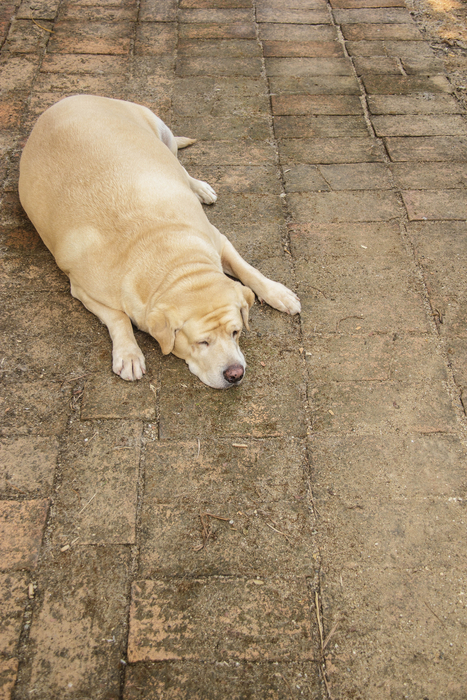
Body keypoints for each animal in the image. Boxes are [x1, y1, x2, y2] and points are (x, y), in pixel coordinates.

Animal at [18, 94, 302, 388]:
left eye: (236, 332)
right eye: (202, 342)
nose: (235, 374)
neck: (172, 258)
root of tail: (69, 98)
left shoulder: (217, 239)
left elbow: (247, 269)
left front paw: (279, 293)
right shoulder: (83, 289)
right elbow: (118, 317)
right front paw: (129, 353)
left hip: (162, 135)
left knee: (181, 167)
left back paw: (200, 188)